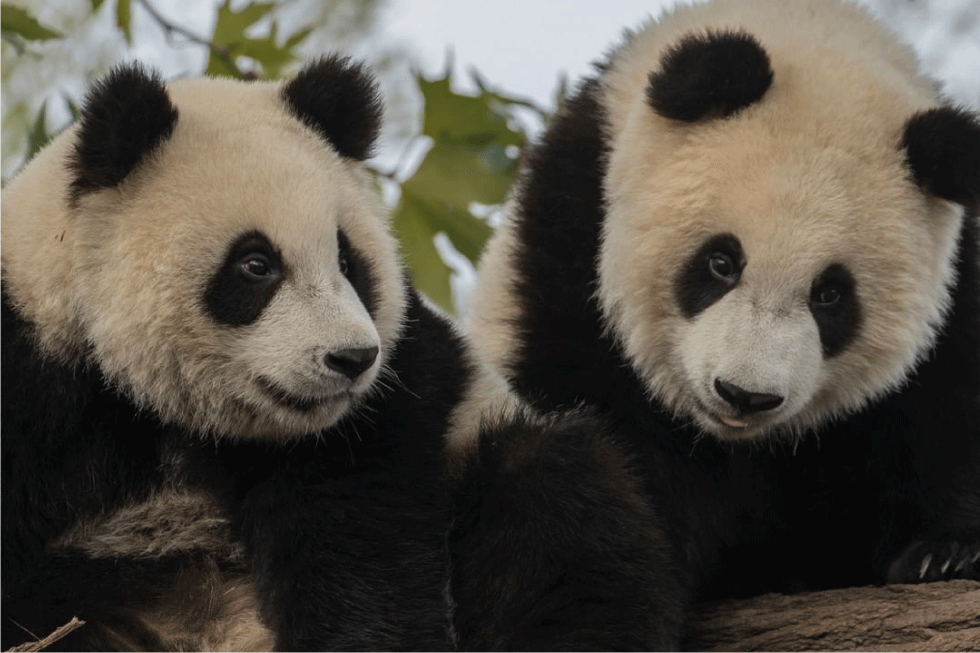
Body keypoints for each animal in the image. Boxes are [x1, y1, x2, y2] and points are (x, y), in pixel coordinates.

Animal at [1, 58, 680, 648]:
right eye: (256, 264)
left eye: (348, 261)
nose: (352, 359)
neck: (163, 413)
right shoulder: (35, 369)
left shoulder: (384, 411)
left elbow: (358, 543)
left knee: (559, 517)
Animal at [468, 0, 980, 636]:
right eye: (720, 262)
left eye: (831, 295)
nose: (744, 395)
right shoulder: (567, 250)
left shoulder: (956, 296)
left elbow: (942, 421)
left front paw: (942, 553)